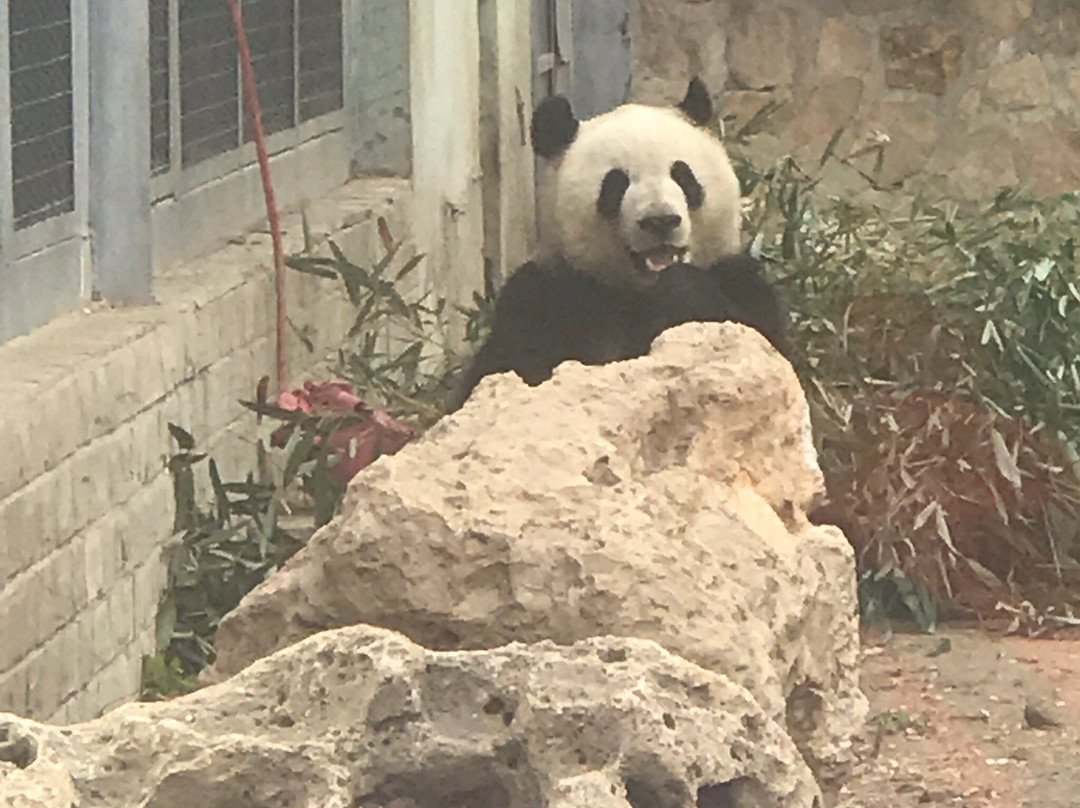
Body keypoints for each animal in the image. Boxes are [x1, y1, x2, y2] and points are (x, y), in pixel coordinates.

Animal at [442, 76, 790, 412]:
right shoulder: (546, 295)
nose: (660, 220)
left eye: (683, 175)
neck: (638, 292)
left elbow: (749, 343)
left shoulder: (740, 283)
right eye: (616, 183)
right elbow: (506, 369)